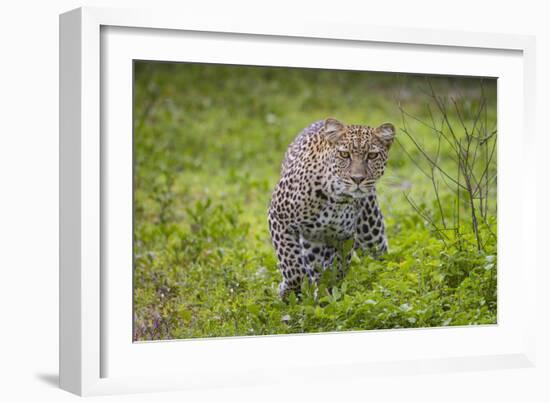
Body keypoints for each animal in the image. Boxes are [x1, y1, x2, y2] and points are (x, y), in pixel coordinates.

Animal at [268, 118, 394, 298]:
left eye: (372, 155)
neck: (335, 198)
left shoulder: (344, 236)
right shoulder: (279, 218)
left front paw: (328, 293)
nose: (357, 179)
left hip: (371, 232)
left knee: (378, 255)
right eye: (344, 154)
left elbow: (338, 268)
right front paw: (289, 291)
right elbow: (292, 266)